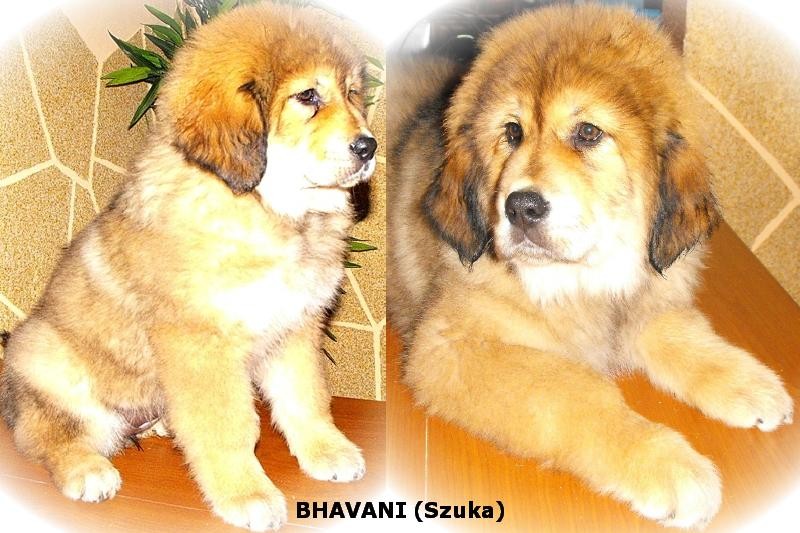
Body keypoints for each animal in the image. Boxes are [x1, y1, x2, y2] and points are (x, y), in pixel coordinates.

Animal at [0, 4, 376, 531]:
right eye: (308, 97)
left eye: (352, 93)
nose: (369, 147)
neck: (271, 210)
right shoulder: (201, 344)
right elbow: (228, 426)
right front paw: (246, 494)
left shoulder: (296, 326)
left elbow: (306, 398)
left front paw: (327, 452)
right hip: (46, 357)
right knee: (45, 436)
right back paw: (87, 471)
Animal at [388, 4, 792, 528]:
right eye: (512, 132)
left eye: (587, 133)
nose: (521, 207)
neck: (586, 282)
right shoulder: (448, 348)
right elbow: (578, 396)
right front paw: (664, 461)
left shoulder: (645, 299)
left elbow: (685, 335)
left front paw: (748, 382)